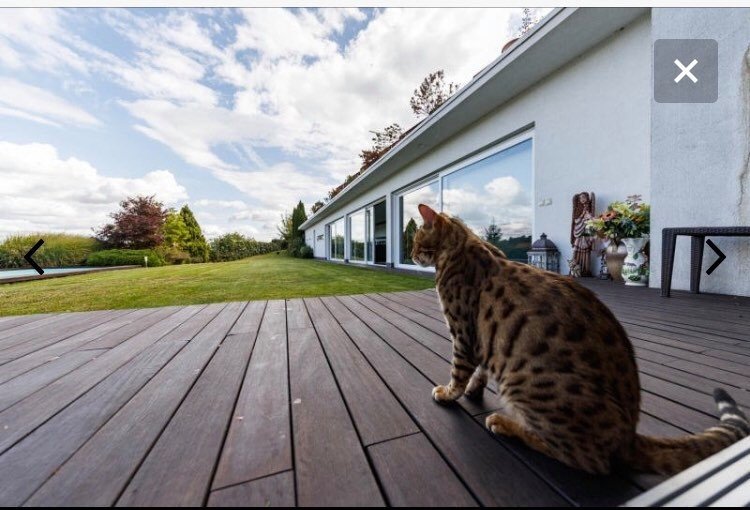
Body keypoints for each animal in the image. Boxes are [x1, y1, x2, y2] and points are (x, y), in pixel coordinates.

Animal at [414, 205, 748, 476]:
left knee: (588, 460)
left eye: (416, 239)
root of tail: (630, 436)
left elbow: (459, 370)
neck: (464, 244)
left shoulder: (463, 332)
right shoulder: (484, 339)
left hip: (529, 387)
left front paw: (449, 393)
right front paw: (473, 390)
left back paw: (506, 424)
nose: (413, 254)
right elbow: (480, 370)